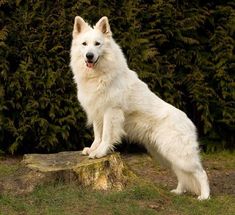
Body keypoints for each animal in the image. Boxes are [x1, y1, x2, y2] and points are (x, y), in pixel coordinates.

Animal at [69, 15, 209, 200]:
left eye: (97, 44)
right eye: (84, 44)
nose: (89, 56)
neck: (98, 75)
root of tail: (189, 121)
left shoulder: (111, 112)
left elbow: (106, 136)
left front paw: (100, 152)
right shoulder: (97, 112)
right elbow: (97, 135)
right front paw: (92, 149)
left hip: (179, 155)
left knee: (201, 173)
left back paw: (205, 197)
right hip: (166, 154)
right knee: (182, 175)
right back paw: (178, 191)